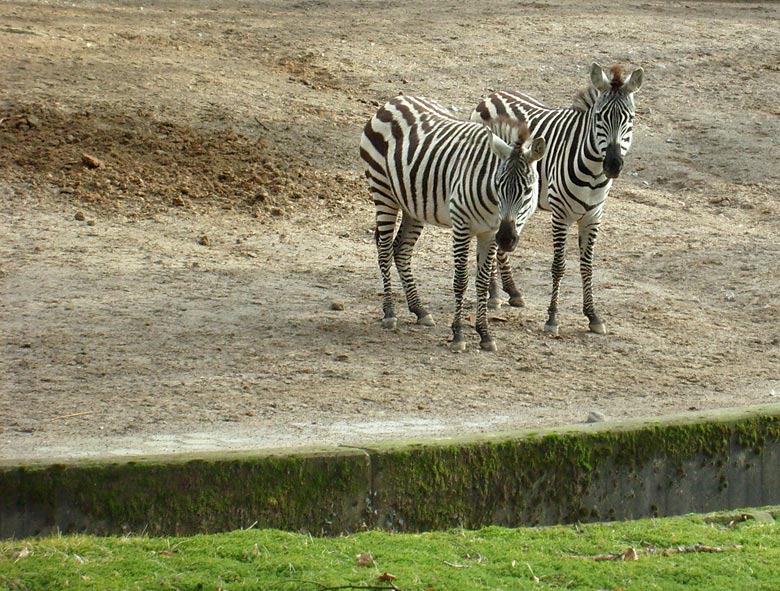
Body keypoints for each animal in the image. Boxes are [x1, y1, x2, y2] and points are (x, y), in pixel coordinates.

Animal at [358, 96, 544, 352]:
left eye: (527, 190)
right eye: (497, 185)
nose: (506, 239)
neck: (492, 203)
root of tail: (394, 101)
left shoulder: (489, 232)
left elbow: (482, 283)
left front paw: (485, 334)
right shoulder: (462, 226)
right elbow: (460, 281)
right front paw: (458, 335)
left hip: (414, 205)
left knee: (401, 251)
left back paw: (419, 309)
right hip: (383, 191)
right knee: (385, 250)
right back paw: (389, 313)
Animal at [472, 63, 644, 338]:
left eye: (630, 118)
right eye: (599, 117)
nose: (613, 165)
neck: (594, 172)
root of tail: (494, 94)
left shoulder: (593, 216)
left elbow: (587, 265)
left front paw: (593, 316)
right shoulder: (561, 215)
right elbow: (559, 266)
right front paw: (552, 317)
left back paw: (510, 291)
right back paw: (495, 294)